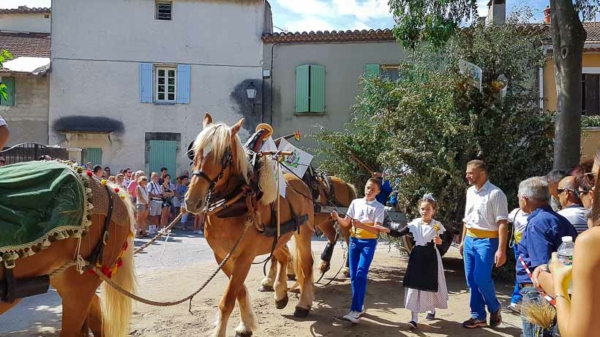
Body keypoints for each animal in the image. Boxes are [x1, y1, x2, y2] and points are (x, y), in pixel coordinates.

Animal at [185, 113, 316, 336]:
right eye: (194, 152)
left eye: (224, 156)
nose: (192, 200)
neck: (234, 202)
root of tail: (299, 181)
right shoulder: (222, 256)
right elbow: (239, 291)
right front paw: (246, 324)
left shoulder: (244, 256)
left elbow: (228, 300)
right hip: (276, 238)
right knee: (284, 256)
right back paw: (280, 293)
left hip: (303, 232)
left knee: (306, 265)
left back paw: (302, 305)